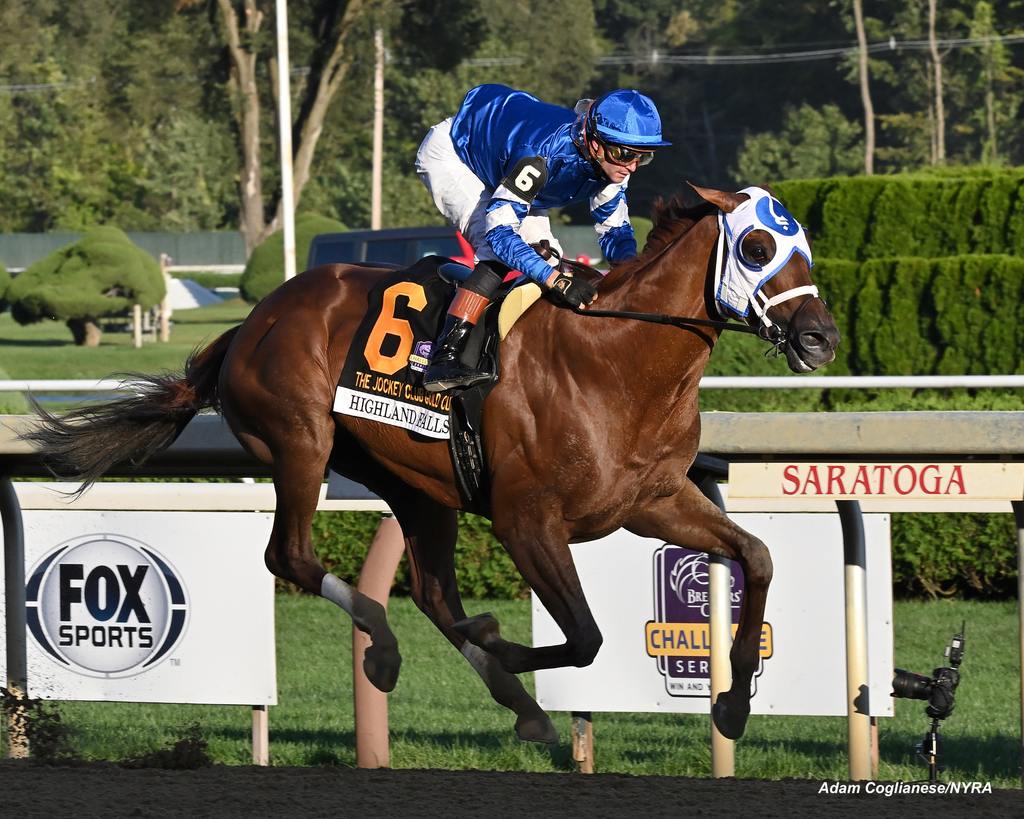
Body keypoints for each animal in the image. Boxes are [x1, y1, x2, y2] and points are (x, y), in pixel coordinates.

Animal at [28, 182, 835, 745]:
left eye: (804, 250)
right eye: (756, 247)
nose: (821, 337)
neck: (614, 358)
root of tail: (252, 319)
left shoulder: (653, 501)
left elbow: (757, 555)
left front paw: (733, 703)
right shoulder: (525, 519)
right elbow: (584, 637)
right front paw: (502, 642)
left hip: (417, 486)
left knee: (431, 590)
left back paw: (499, 698)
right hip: (301, 443)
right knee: (290, 555)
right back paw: (393, 650)